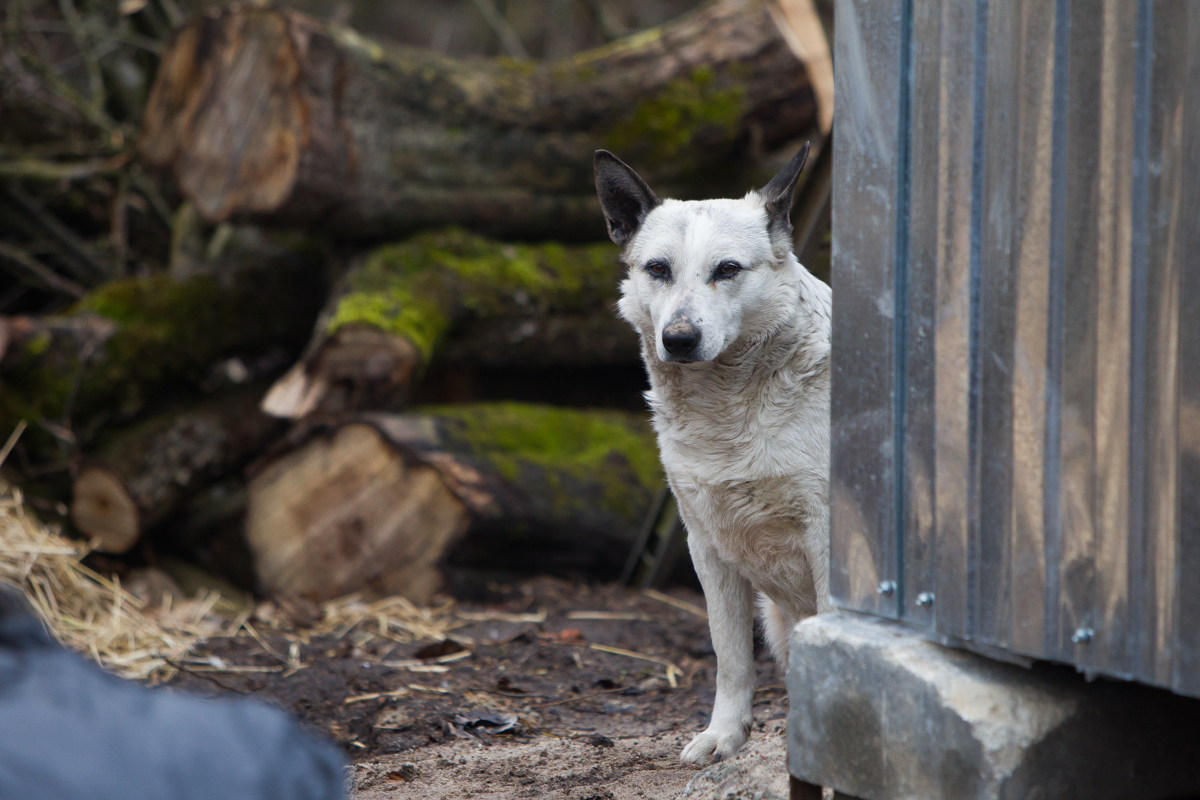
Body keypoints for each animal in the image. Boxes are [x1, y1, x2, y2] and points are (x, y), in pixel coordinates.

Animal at [592, 145, 835, 767]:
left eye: (727, 269)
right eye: (658, 269)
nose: (678, 339)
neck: (727, 415)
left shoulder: (826, 533)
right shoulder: (705, 544)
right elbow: (729, 657)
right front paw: (724, 736)